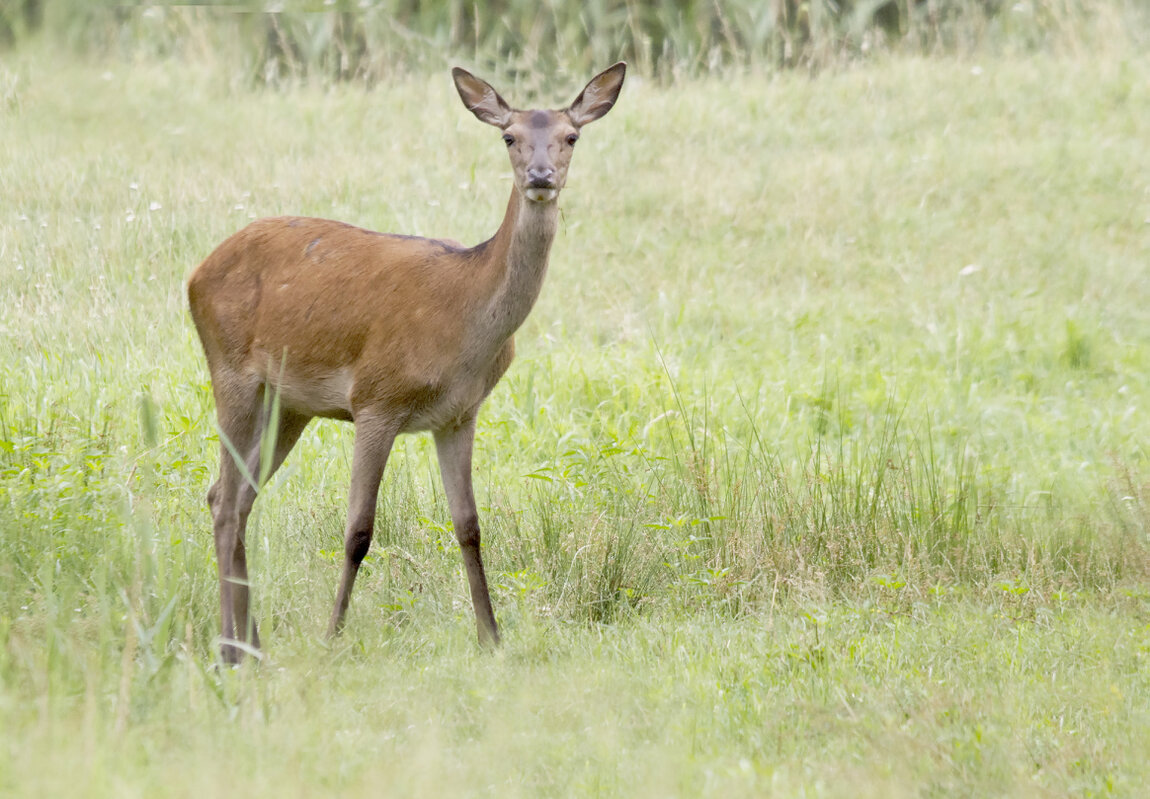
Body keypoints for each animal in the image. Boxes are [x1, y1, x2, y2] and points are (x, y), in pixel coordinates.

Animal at [187, 63, 626, 663]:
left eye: (571, 136)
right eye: (509, 137)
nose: (541, 176)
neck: (465, 322)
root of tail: (195, 275)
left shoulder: (459, 415)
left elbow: (469, 525)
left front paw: (492, 637)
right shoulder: (376, 399)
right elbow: (358, 530)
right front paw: (332, 635)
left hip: (290, 404)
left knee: (232, 498)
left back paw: (249, 642)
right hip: (230, 370)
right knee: (227, 499)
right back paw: (232, 648)